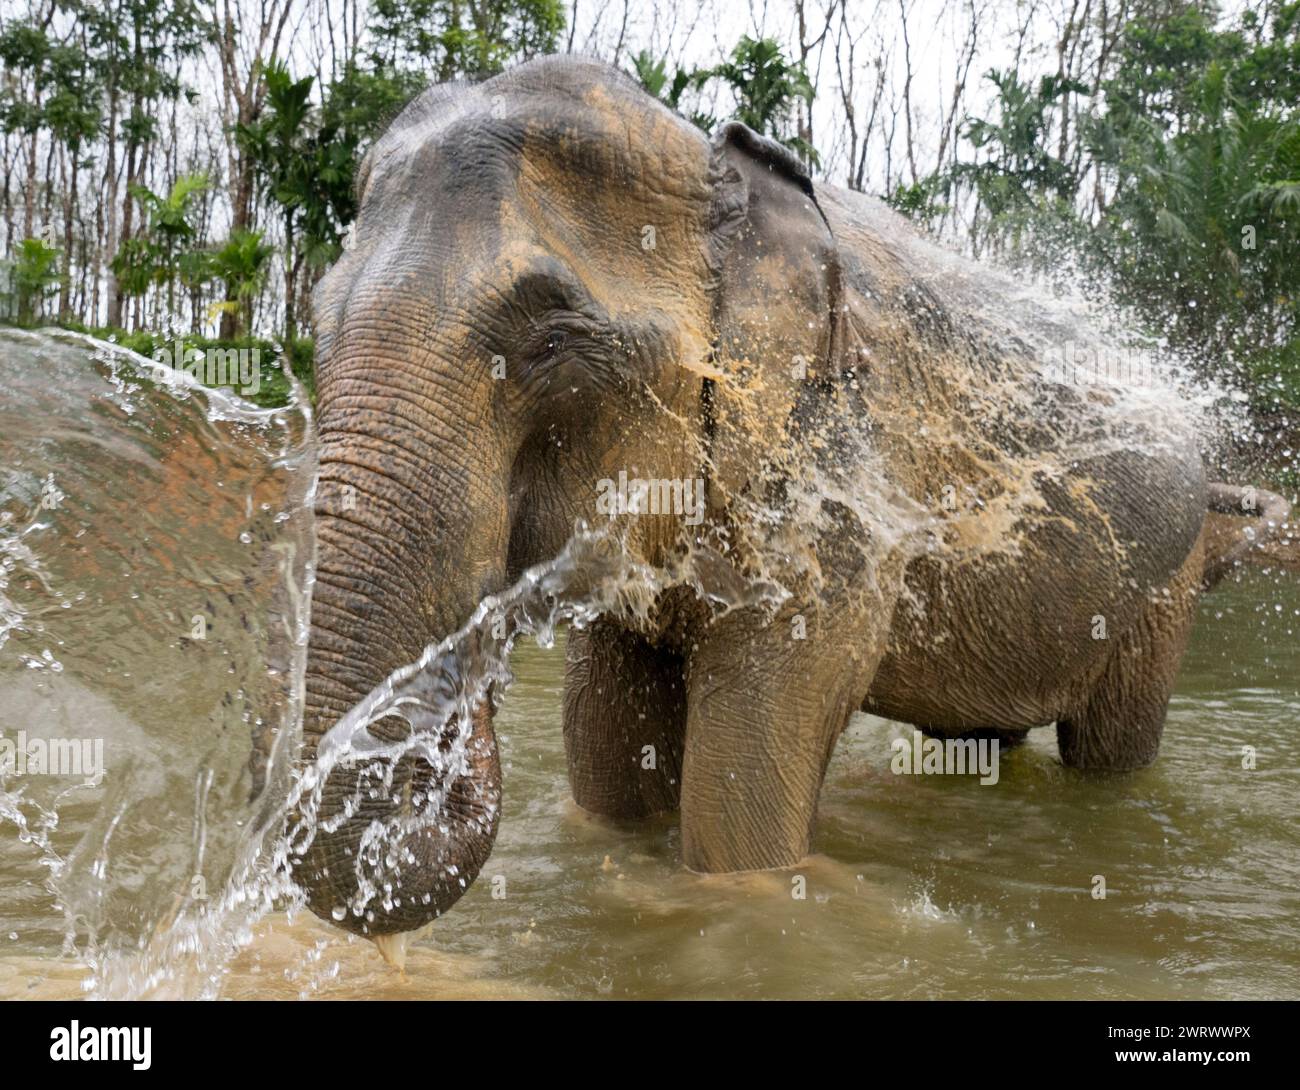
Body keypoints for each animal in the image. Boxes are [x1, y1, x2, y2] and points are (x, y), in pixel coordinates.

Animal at [293, 55, 1291, 947]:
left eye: (549, 340)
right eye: (316, 322)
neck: (715, 164)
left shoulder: (837, 490)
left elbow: (740, 811)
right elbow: (610, 765)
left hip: (1162, 586)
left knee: (1112, 749)